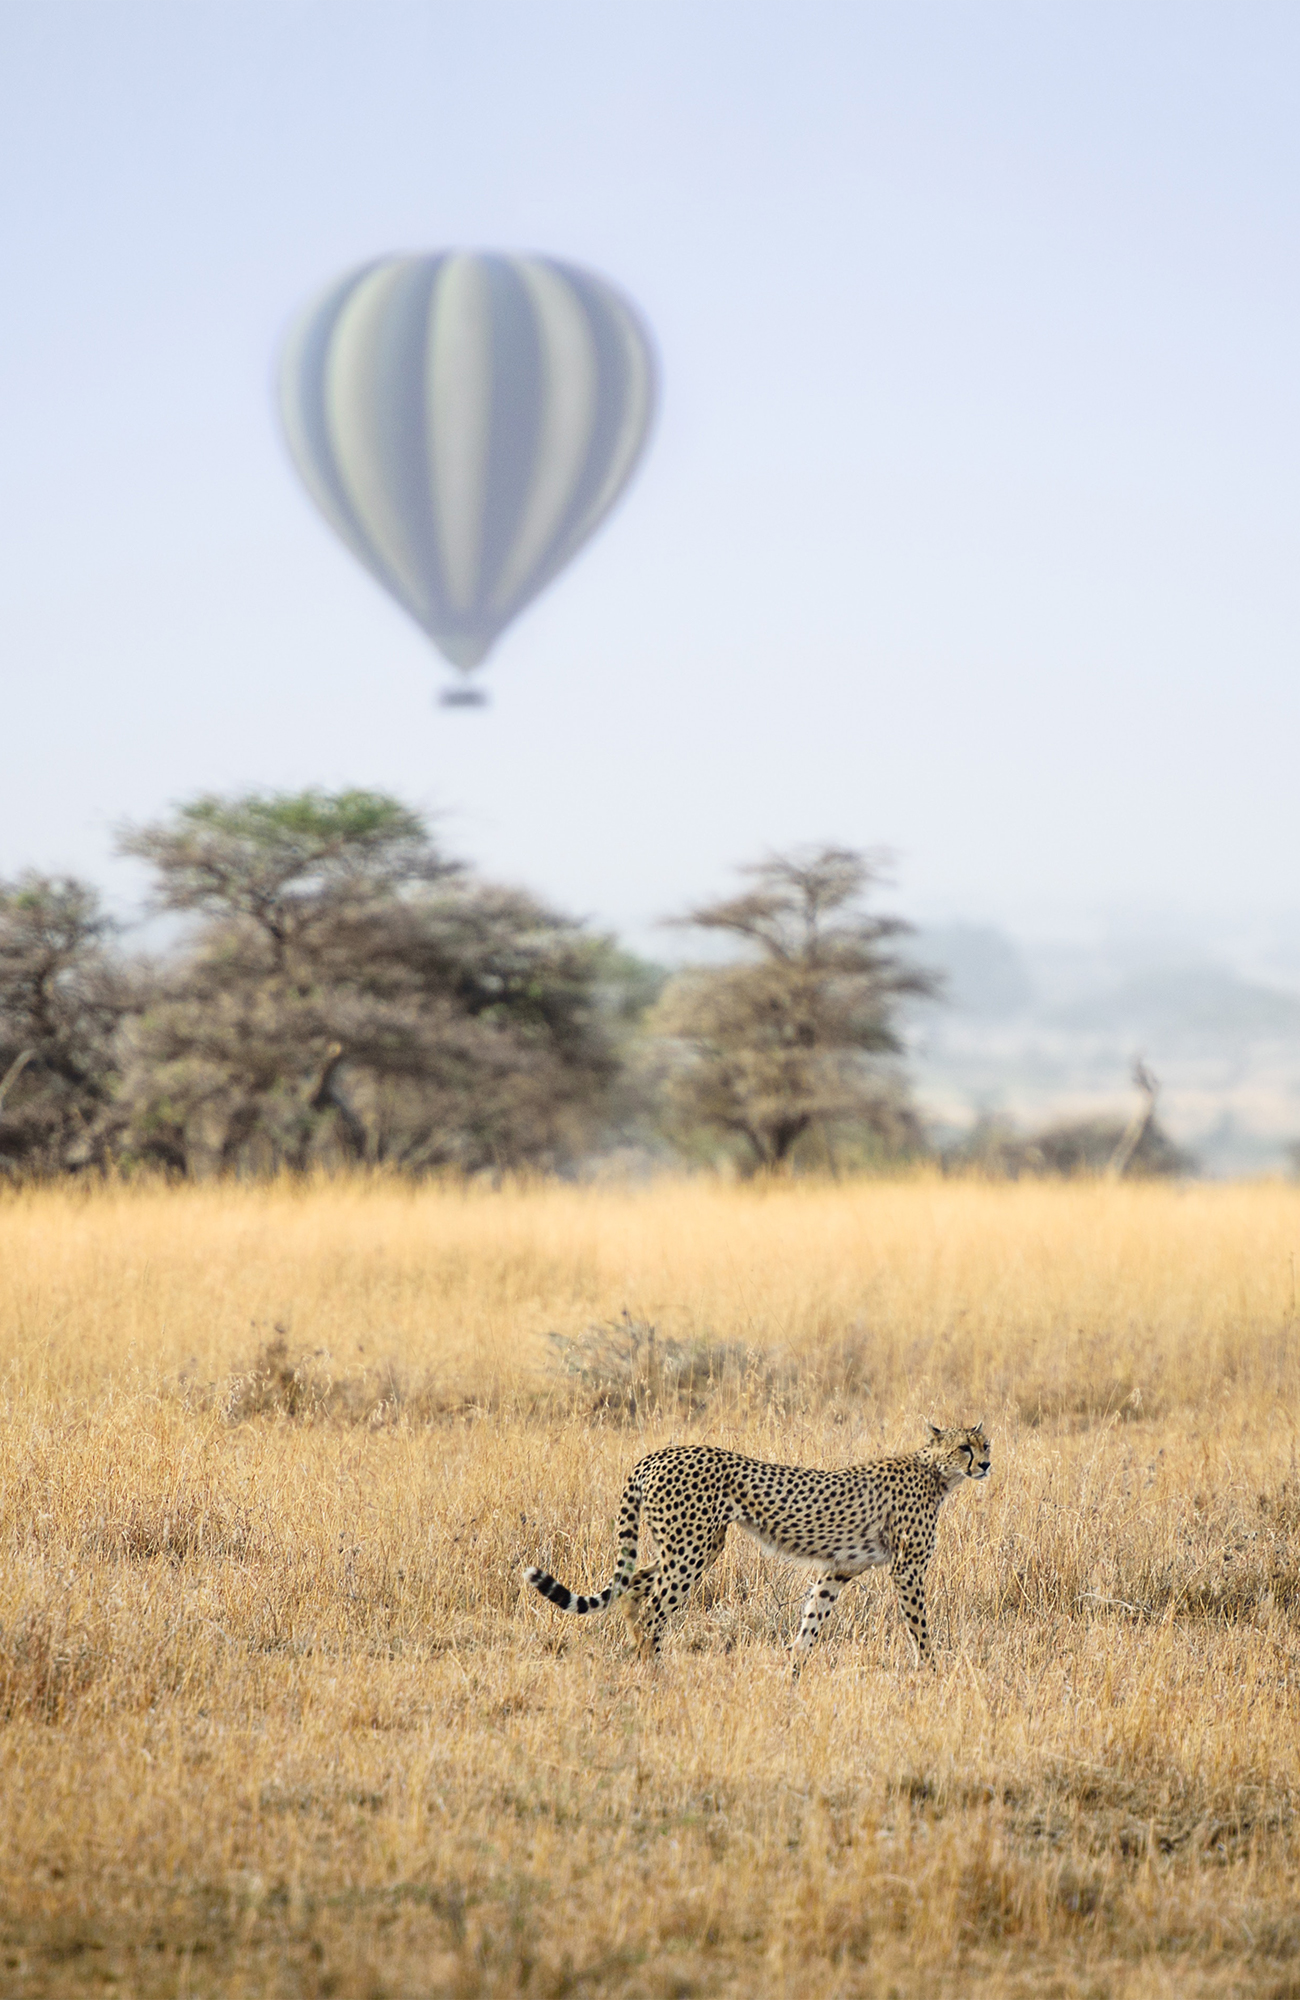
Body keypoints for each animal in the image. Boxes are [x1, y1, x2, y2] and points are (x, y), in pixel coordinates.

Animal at [524, 1421, 990, 1669]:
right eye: (963, 1447)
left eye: (986, 1444)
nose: (985, 1464)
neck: (936, 1472)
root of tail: (655, 1455)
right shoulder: (907, 1570)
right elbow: (920, 1627)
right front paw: (931, 1673)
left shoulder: (838, 1569)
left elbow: (811, 1620)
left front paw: (793, 1673)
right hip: (691, 1548)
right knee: (654, 1607)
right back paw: (657, 1672)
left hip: (697, 1545)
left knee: (633, 1589)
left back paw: (641, 1661)